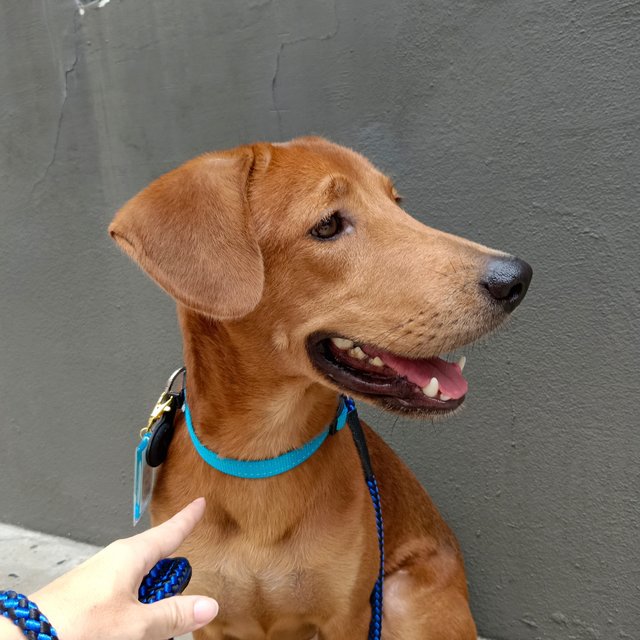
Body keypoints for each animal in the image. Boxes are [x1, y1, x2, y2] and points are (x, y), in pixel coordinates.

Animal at [109, 136, 528, 640]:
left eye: (397, 204)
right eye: (327, 225)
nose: (517, 278)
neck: (262, 459)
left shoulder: (348, 614)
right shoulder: (205, 614)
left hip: (400, 599)